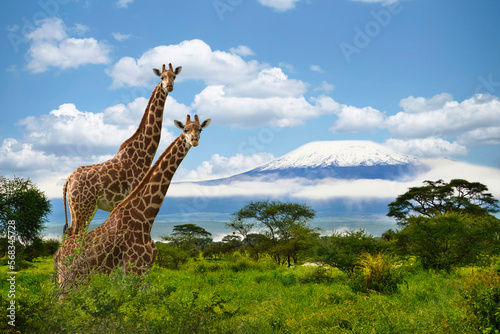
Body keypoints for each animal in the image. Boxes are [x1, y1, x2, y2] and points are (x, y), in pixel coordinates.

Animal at [54, 115, 211, 288]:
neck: (144, 216)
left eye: (200, 129)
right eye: (185, 130)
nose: (194, 140)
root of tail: (58, 256)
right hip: (69, 278)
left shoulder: (145, 271)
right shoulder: (134, 269)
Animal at [61, 62, 181, 235]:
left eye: (174, 76)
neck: (144, 153)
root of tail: (68, 180)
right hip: (83, 207)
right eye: (161, 77)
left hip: (75, 209)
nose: (169, 86)